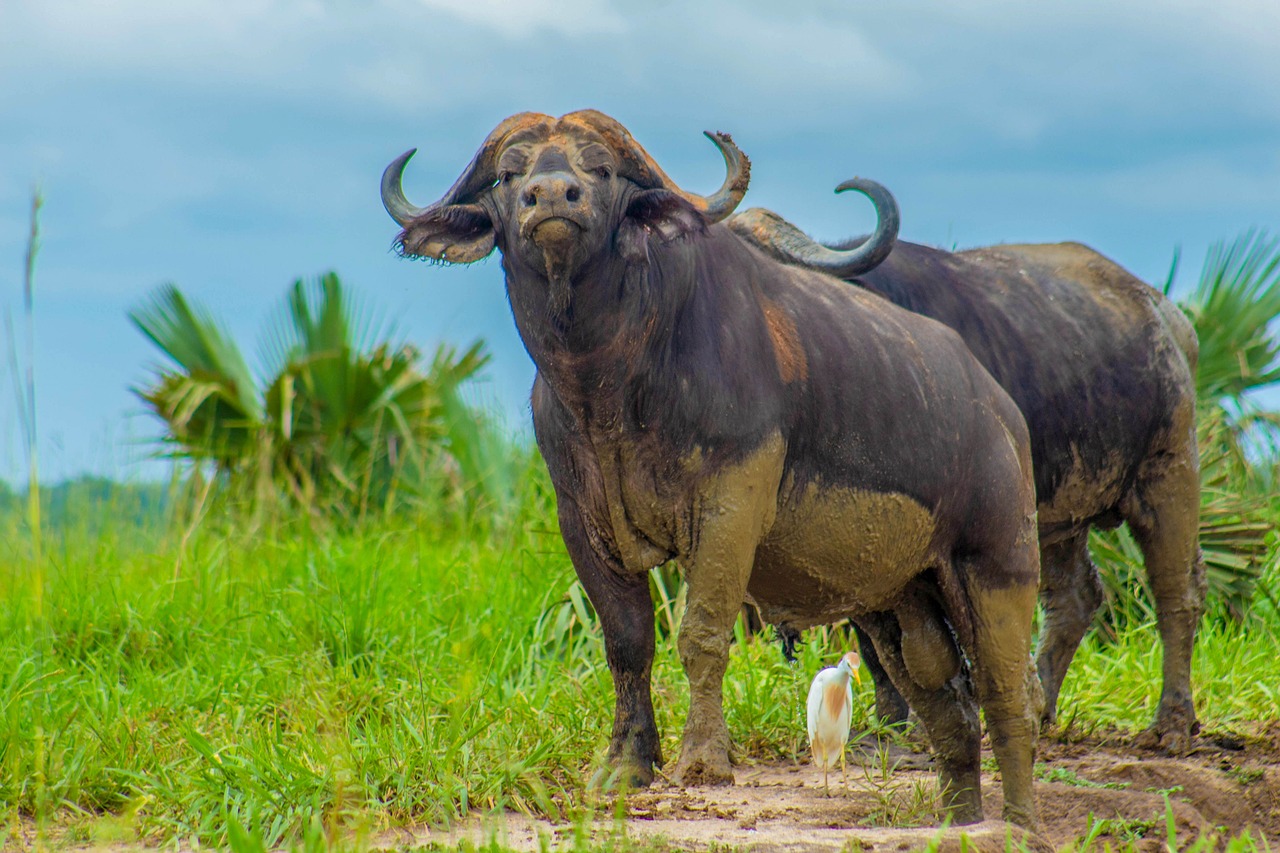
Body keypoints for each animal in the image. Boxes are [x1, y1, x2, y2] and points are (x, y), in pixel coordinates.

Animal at [378, 112, 1039, 824]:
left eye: (601, 168)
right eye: (508, 175)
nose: (552, 197)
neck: (609, 385)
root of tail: (1000, 410)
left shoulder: (732, 502)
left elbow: (701, 634)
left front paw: (702, 761)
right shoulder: (580, 518)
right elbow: (627, 641)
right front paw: (626, 764)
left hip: (1000, 563)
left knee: (1006, 686)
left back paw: (1022, 820)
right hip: (902, 596)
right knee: (941, 692)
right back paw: (960, 816)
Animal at [727, 197, 1203, 742]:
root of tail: (1166, 316)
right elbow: (875, 639)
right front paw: (887, 723)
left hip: (1168, 471)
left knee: (1178, 592)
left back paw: (1171, 722)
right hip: (1053, 517)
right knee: (1074, 599)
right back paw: (1041, 708)